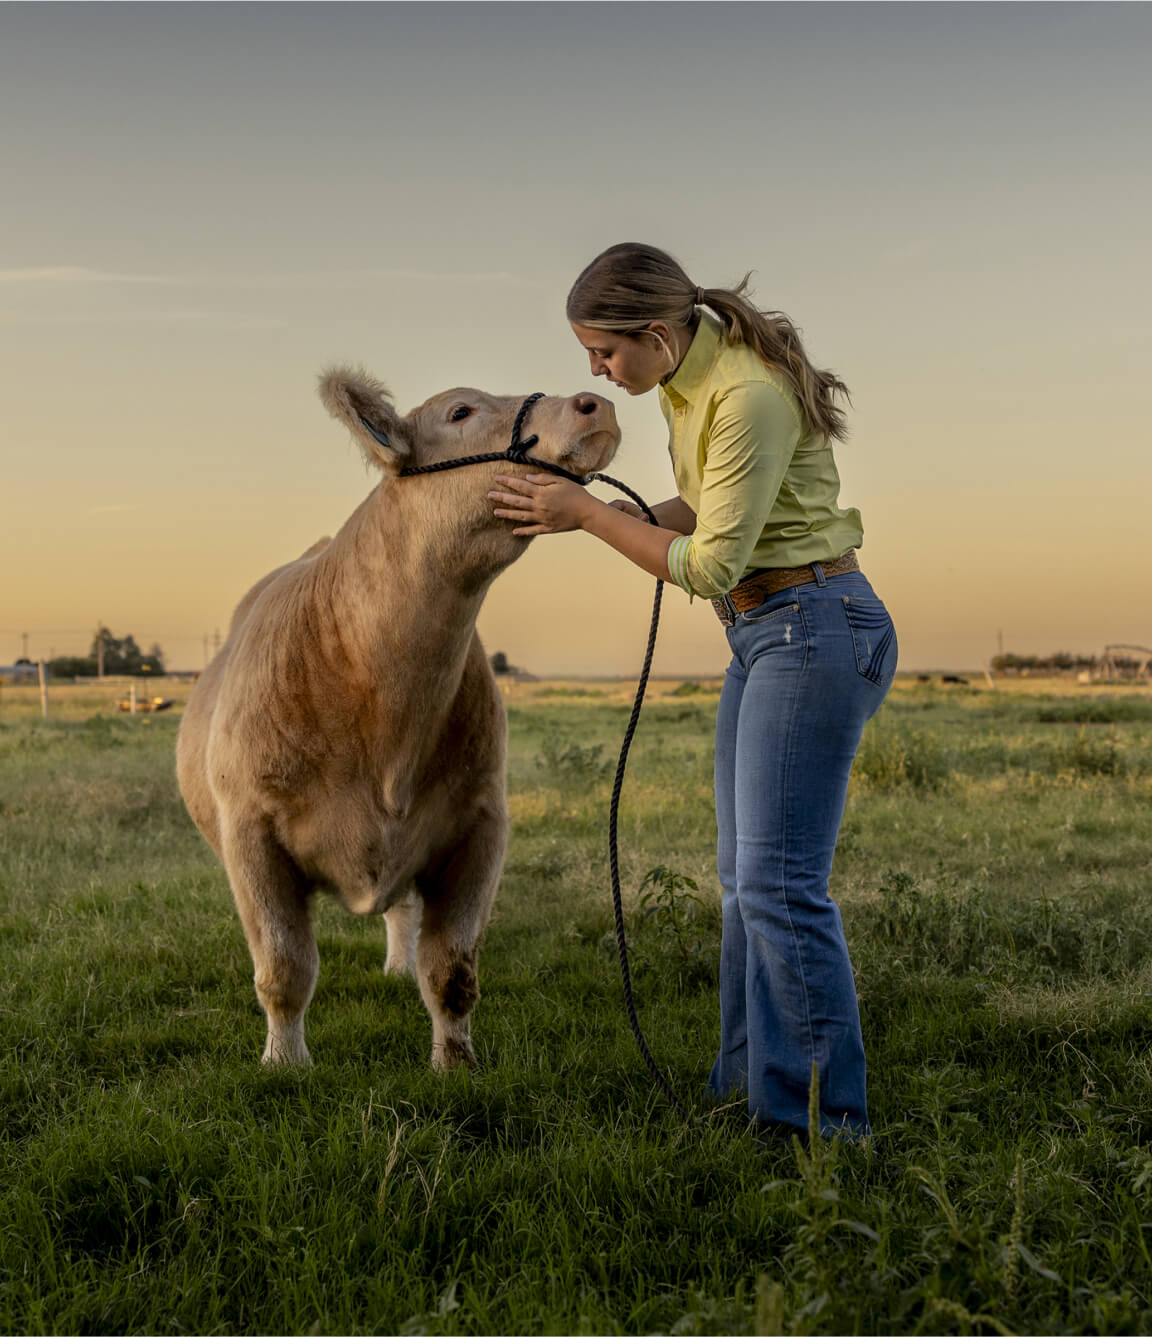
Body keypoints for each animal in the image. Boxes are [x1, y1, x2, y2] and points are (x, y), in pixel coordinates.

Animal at [176, 368, 619, 1070]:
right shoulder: (249, 832)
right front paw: (284, 1063)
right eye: (460, 411)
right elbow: (284, 966)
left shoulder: (480, 824)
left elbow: (453, 970)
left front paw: (455, 1064)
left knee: (403, 912)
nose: (594, 403)